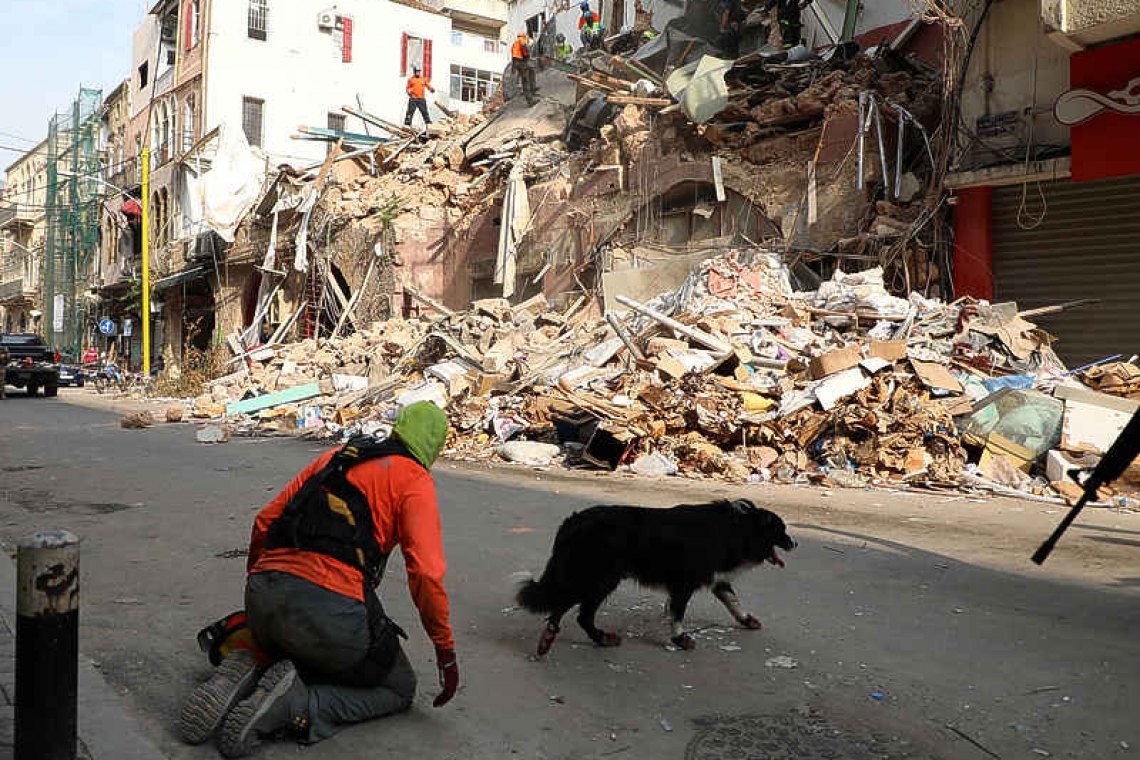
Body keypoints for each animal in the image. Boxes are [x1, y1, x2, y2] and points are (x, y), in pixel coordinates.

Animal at [517, 499, 793, 656]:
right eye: (781, 530)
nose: (795, 543)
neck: (737, 527)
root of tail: (572, 521)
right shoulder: (684, 583)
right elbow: (678, 613)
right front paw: (680, 639)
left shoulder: (715, 578)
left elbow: (732, 600)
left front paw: (747, 620)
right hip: (597, 578)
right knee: (567, 608)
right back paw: (551, 638)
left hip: (599, 579)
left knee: (579, 614)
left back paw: (600, 638)